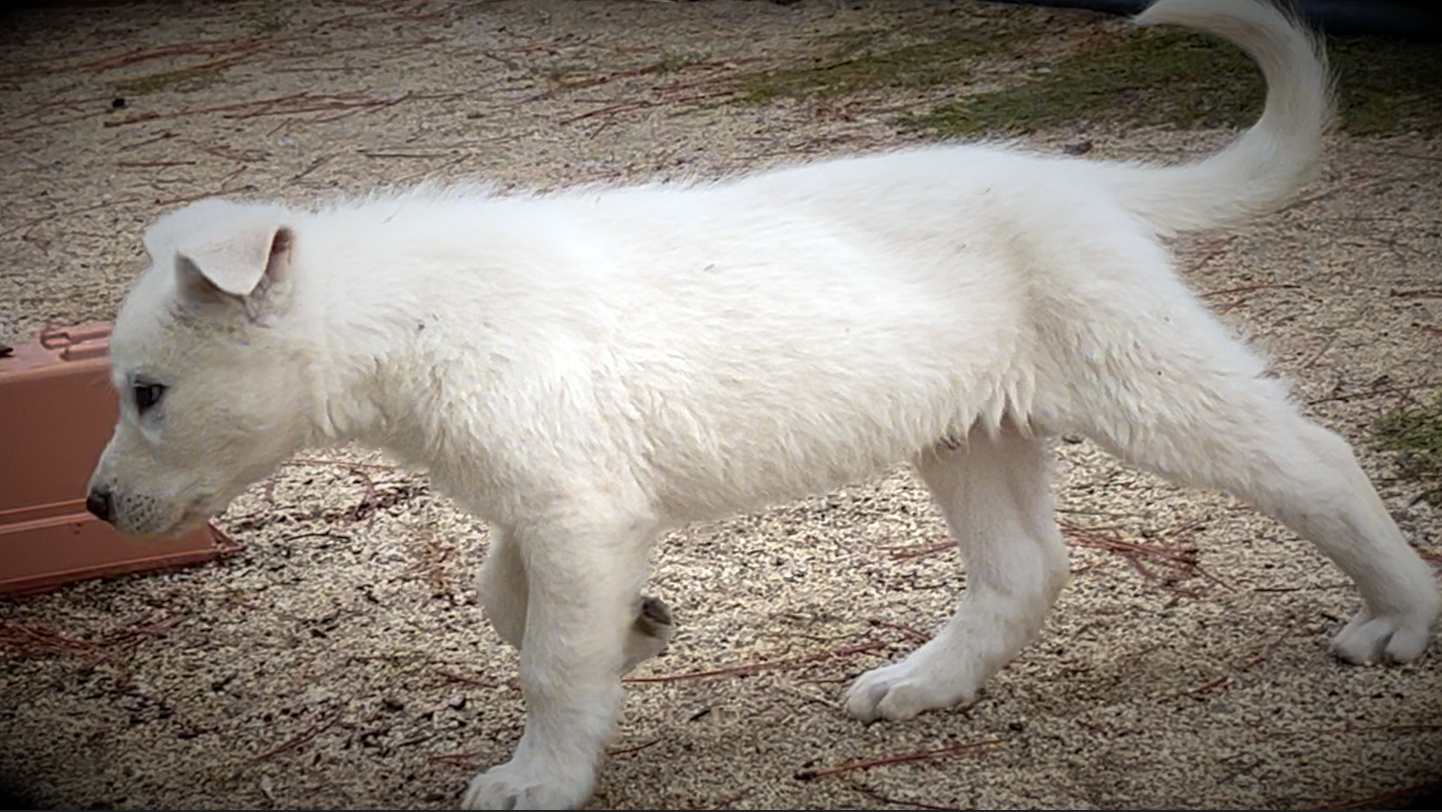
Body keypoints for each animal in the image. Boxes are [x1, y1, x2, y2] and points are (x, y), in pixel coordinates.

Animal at [87, 3, 1430, 807]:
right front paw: (638, 628)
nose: (96, 505)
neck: (406, 318)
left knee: (1313, 459)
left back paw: (1397, 616)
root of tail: (1081, 183)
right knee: (1021, 569)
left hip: (1142, 383)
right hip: (971, 433)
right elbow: (503, 597)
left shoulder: (574, 507)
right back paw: (922, 684)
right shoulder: (563, 506)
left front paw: (539, 775)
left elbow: (549, 661)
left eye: (149, 392)